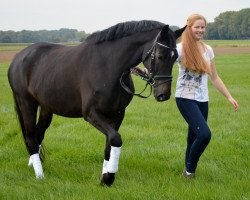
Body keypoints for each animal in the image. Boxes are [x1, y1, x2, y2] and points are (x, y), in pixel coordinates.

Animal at [7, 20, 185, 186]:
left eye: (175, 58)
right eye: (160, 56)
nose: (163, 94)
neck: (109, 66)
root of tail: (17, 58)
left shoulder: (117, 114)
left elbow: (109, 146)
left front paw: (105, 176)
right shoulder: (91, 113)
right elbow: (115, 139)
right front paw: (109, 177)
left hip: (46, 107)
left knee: (38, 135)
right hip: (27, 103)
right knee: (31, 137)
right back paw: (40, 175)